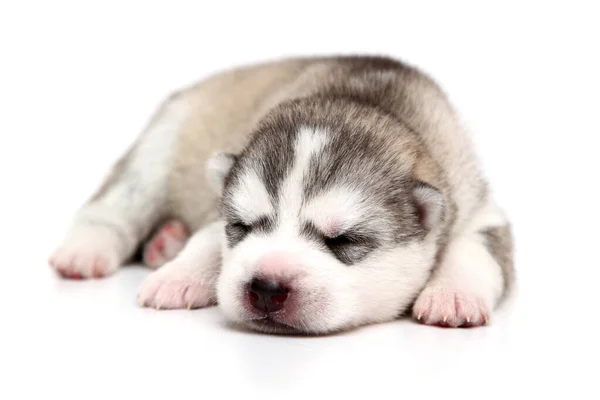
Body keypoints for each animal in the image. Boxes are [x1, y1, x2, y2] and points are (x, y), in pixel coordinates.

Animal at [49, 54, 512, 332]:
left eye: (342, 240)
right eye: (242, 225)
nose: (267, 287)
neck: (354, 99)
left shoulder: (477, 203)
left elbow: (479, 249)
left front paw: (454, 295)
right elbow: (208, 237)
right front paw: (179, 275)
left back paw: (165, 242)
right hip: (162, 143)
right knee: (116, 203)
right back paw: (89, 250)